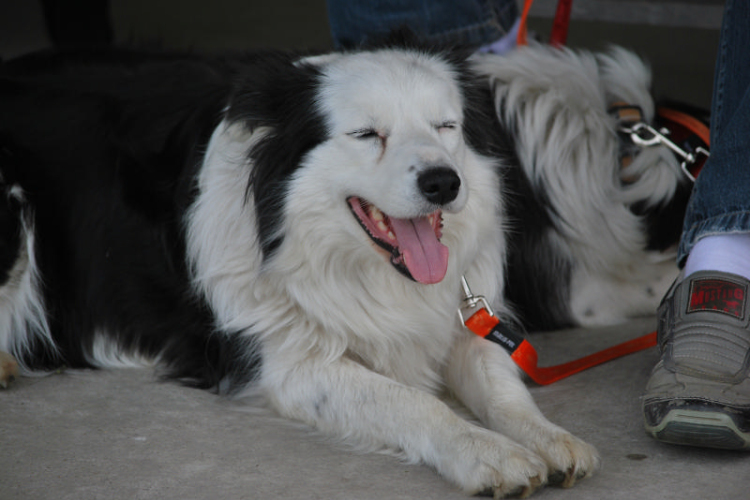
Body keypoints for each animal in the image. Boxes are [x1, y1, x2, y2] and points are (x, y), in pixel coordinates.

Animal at [0, 41, 692, 498]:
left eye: (447, 126)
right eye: (365, 134)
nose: (444, 182)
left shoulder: (468, 319)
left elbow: (504, 391)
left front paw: (544, 437)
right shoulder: (286, 362)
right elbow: (413, 402)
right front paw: (483, 452)